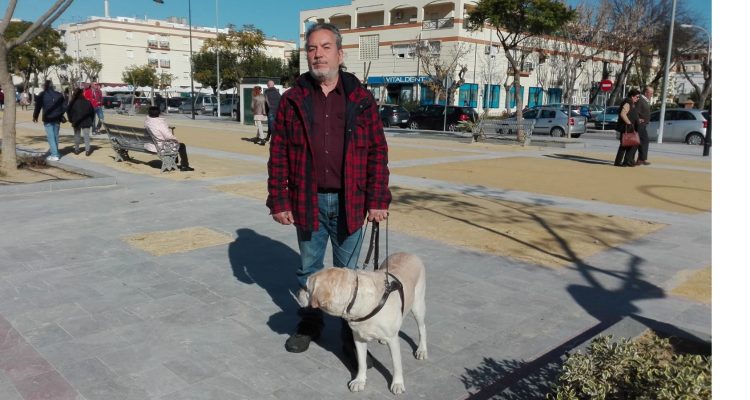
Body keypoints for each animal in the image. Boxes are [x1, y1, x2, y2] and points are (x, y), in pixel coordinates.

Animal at [300, 253, 428, 394]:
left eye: (306, 287)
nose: (297, 293)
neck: (354, 298)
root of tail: (408, 253)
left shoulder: (393, 341)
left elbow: (397, 364)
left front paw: (398, 383)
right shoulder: (358, 338)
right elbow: (362, 363)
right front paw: (359, 381)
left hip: (418, 306)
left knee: (422, 328)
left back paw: (422, 350)